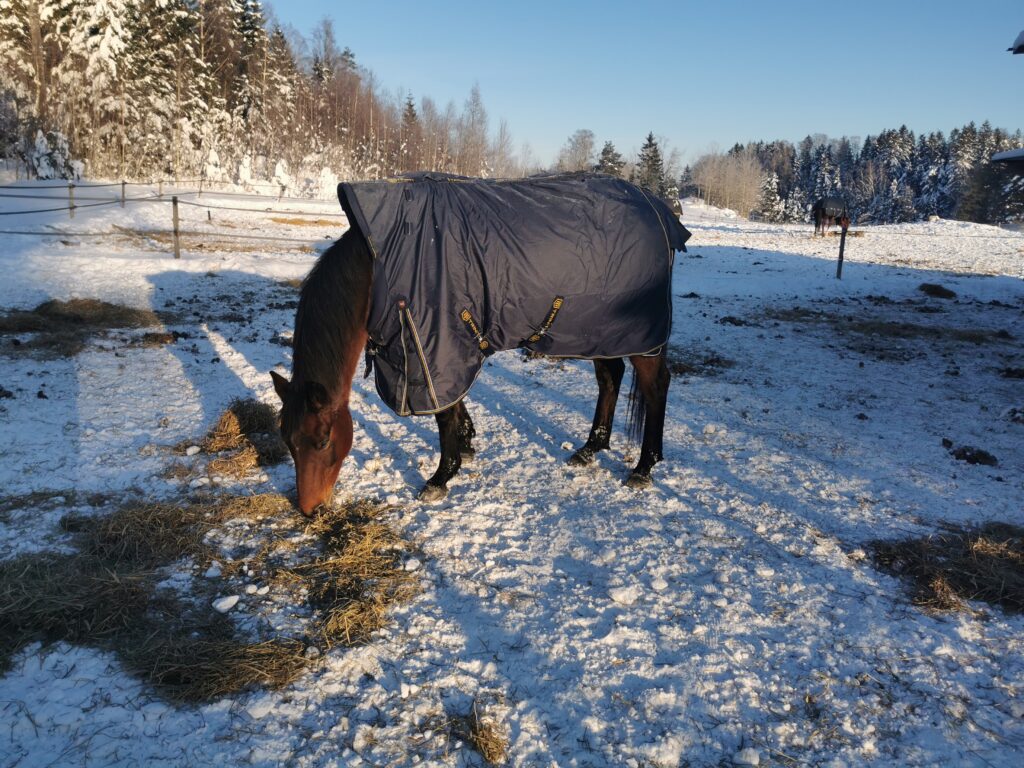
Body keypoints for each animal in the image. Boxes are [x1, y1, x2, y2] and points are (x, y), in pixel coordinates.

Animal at [270, 173, 688, 518]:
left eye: (323, 441)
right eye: (287, 440)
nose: (309, 509)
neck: (383, 261)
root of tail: (658, 209)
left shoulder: (436, 343)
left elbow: (443, 414)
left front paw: (441, 476)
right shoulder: (437, 350)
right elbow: (452, 404)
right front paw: (466, 444)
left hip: (641, 336)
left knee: (654, 387)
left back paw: (644, 466)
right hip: (600, 331)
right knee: (610, 377)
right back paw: (590, 449)